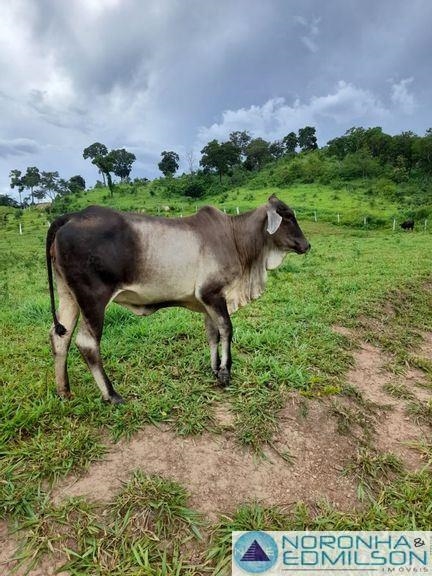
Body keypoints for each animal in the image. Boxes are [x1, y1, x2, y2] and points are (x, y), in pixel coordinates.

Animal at [46, 196, 310, 402]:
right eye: (287, 217)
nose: (306, 245)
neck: (236, 238)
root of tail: (71, 217)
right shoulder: (214, 294)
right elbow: (227, 330)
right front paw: (225, 373)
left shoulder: (207, 302)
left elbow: (212, 334)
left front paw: (214, 369)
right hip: (93, 300)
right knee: (87, 343)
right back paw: (111, 395)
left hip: (69, 296)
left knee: (61, 336)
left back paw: (63, 391)